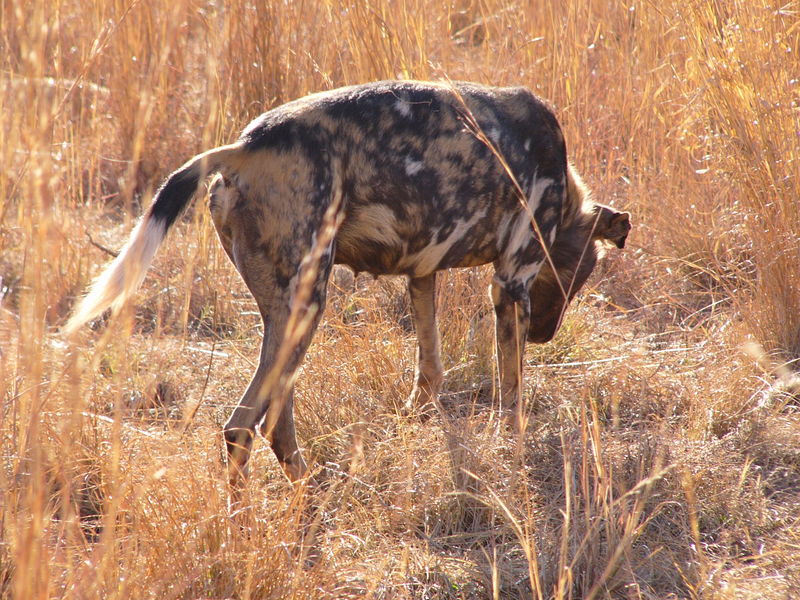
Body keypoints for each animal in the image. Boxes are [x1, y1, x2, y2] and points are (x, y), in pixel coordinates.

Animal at [65, 81, 632, 496]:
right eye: (579, 276)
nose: (544, 335)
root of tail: (245, 147)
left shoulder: (422, 275)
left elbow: (430, 370)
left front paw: (416, 421)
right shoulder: (511, 283)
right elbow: (512, 391)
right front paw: (512, 450)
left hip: (286, 315)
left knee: (271, 418)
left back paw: (305, 489)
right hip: (308, 304)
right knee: (245, 425)